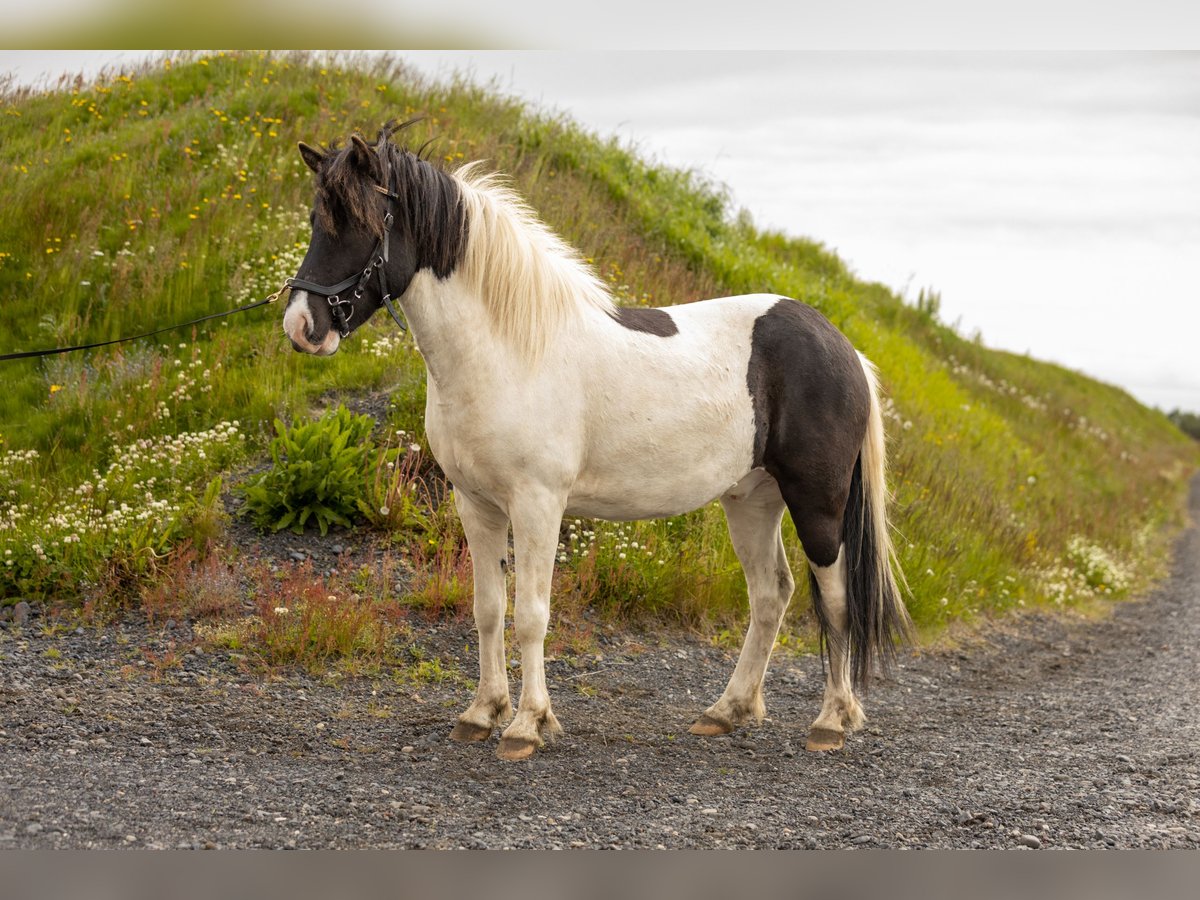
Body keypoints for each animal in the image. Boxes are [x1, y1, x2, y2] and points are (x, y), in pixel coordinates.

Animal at [283, 125, 907, 763]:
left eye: (361, 223)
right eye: (316, 219)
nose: (302, 327)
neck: (506, 348)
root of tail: (844, 348)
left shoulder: (537, 503)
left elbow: (532, 615)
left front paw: (527, 725)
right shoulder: (475, 503)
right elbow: (488, 610)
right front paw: (482, 713)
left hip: (817, 502)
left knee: (835, 598)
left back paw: (831, 721)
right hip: (751, 500)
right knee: (771, 595)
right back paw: (727, 711)